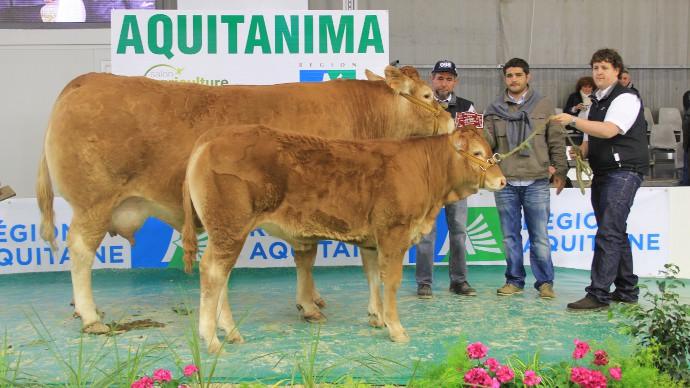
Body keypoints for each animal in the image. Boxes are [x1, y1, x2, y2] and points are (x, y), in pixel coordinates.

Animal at [35, 65, 452, 334]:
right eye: (429, 95)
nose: (452, 120)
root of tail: (86, 80)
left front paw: (318, 301)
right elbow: (320, 257)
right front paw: (328, 307)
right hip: (94, 202)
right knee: (80, 250)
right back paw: (91, 317)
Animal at [183, 124, 506, 352]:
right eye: (477, 154)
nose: (501, 180)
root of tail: (215, 135)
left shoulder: (372, 240)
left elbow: (373, 276)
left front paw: (377, 317)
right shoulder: (394, 233)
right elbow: (391, 281)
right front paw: (396, 328)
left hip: (227, 232)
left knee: (222, 276)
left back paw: (230, 332)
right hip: (229, 227)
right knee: (213, 272)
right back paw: (211, 338)